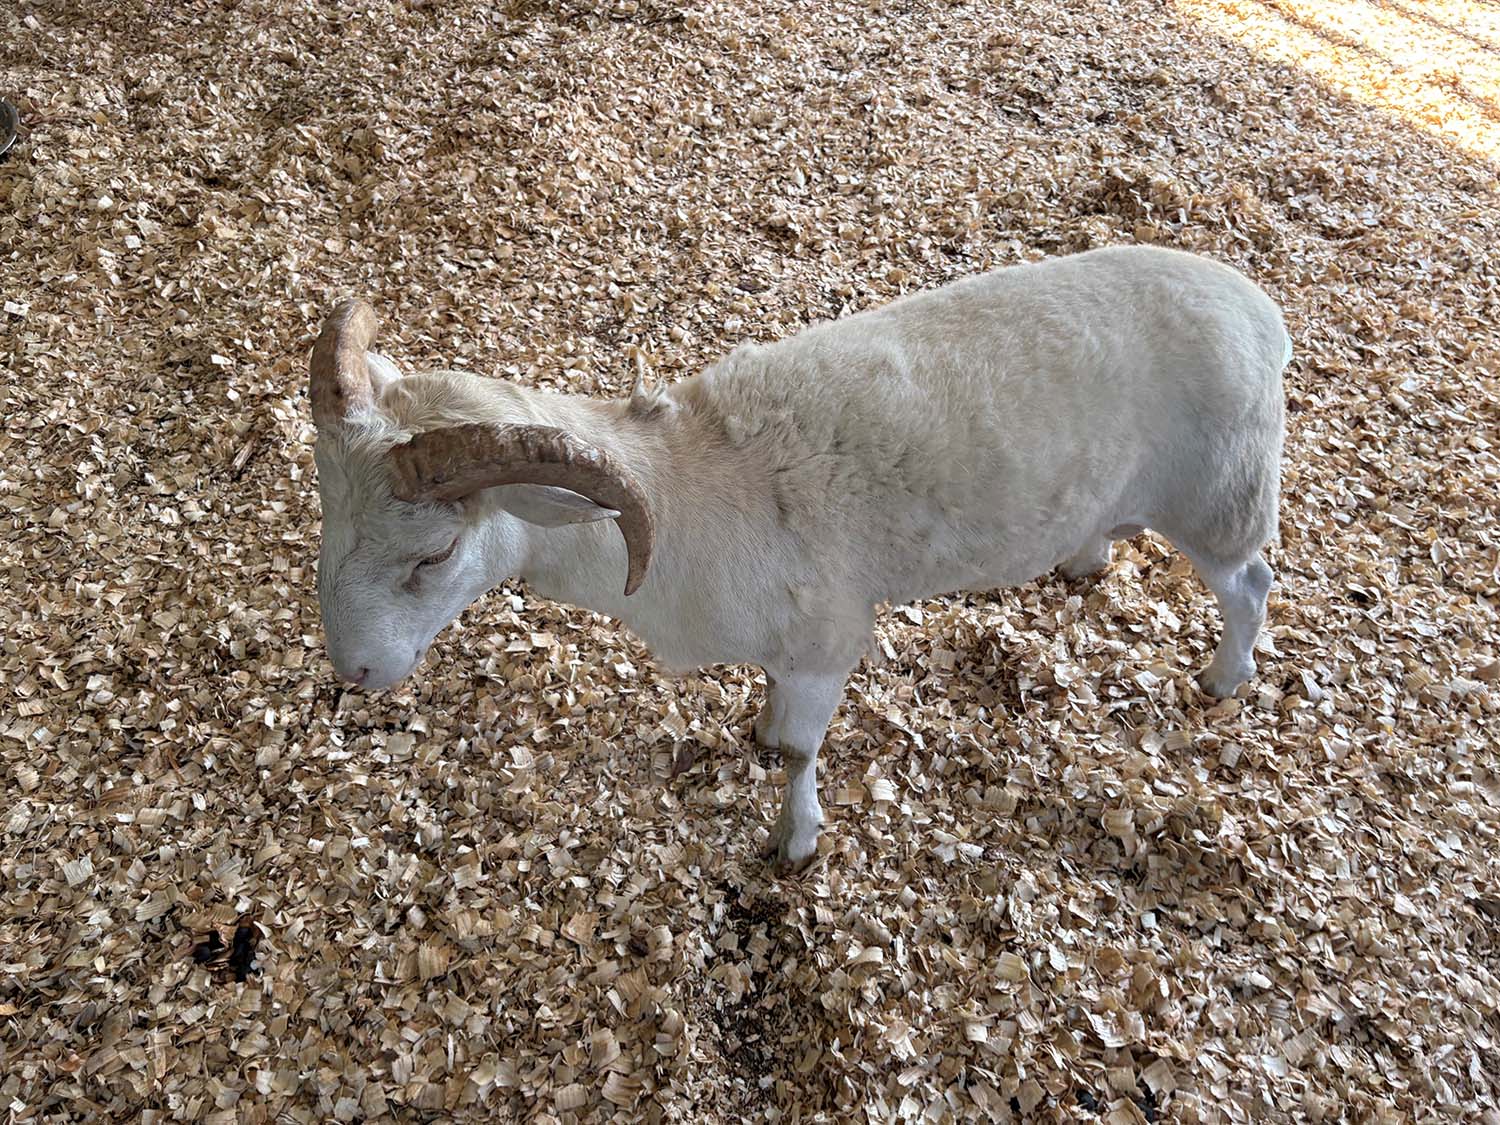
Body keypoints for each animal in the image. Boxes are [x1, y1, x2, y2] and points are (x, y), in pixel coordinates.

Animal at [309, 244, 1289, 871]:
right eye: (323, 507)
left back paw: (1225, 677)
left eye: (436, 553)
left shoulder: (827, 639)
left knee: (1250, 580)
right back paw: (1088, 555)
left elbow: (796, 749)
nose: (352, 672)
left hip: (1222, 493)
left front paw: (795, 839)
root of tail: (1262, 311)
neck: (686, 486)